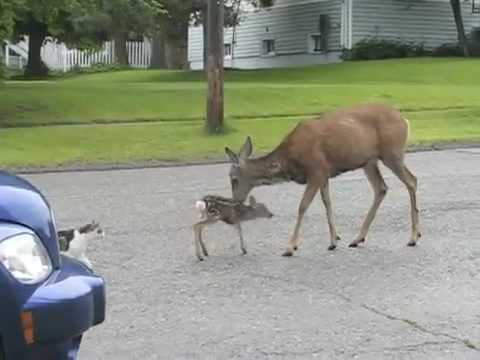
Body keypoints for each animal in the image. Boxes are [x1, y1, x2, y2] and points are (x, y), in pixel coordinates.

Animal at [225, 103, 420, 256]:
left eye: (233, 178)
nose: (235, 201)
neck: (289, 160)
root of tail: (404, 120)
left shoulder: (316, 169)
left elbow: (302, 206)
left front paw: (290, 247)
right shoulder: (324, 173)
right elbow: (327, 203)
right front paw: (333, 240)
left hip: (392, 153)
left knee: (412, 181)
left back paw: (414, 237)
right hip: (369, 161)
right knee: (381, 188)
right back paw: (358, 238)